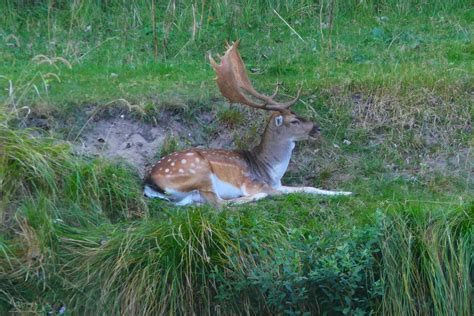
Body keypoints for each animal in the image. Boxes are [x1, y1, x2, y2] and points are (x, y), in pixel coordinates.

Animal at [144, 40, 352, 207]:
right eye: (294, 120)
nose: (317, 128)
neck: (270, 171)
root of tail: (148, 182)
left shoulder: (278, 184)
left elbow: (309, 187)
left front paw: (345, 192)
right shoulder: (253, 183)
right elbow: (278, 193)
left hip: (189, 193)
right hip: (199, 172)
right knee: (220, 204)